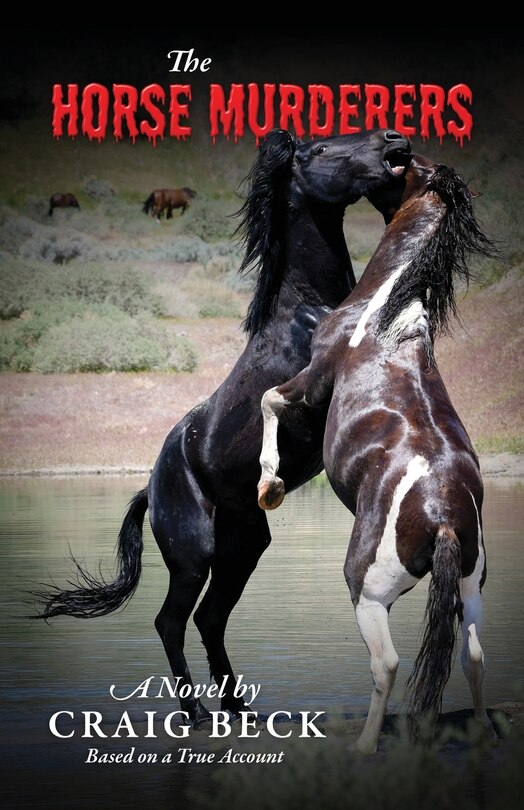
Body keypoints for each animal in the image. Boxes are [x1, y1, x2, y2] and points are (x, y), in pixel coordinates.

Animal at [30, 128, 413, 727]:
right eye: (321, 149)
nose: (394, 142)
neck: (309, 311)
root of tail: (151, 489)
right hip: (193, 556)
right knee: (171, 621)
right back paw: (194, 712)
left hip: (243, 547)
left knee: (210, 619)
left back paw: (238, 708)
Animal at [257, 154, 497, 752]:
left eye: (406, 166)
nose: (392, 148)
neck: (389, 309)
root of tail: (444, 516)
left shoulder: (315, 378)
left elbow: (269, 398)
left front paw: (270, 486)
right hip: (470, 589)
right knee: (473, 656)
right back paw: (484, 730)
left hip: (367, 591)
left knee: (386, 663)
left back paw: (365, 744)